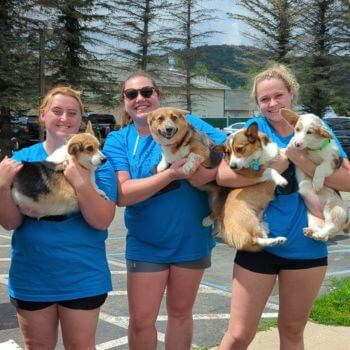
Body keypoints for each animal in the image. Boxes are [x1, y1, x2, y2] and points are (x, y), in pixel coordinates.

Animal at [216, 123, 288, 252]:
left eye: (239, 149)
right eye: (227, 152)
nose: (232, 167)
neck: (260, 154)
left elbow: (281, 150)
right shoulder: (255, 174)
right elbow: (270, 169)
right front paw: (281, 180)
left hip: (262, 224)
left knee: (260, 239)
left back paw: (276, 240)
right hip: (250, 220)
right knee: (255, 240)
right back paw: (276, 240)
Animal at [282, 108, 350, 241]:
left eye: (309, 132)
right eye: (297, 129)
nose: (297, 144)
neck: (313, 148)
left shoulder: (333, 161)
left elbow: (320, 167)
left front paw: (317, 183)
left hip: (333, 208)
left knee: (331, 227)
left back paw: (319, 233)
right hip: (312, 219)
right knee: (325, 235)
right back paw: (312, 233)